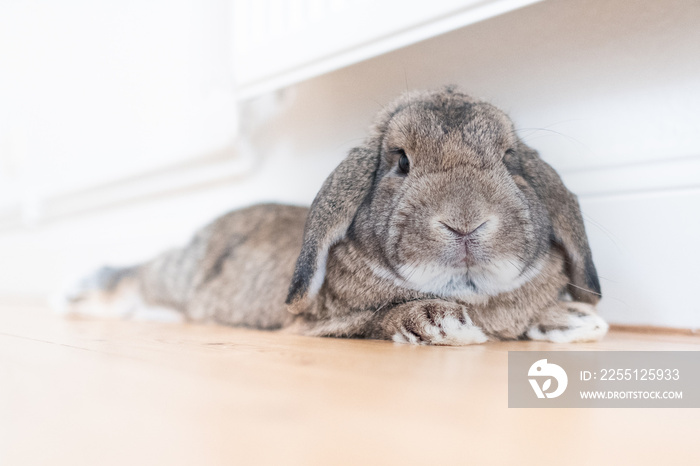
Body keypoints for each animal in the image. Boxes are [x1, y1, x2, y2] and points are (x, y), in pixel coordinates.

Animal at [64, 86, 608, 346]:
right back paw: (71, 298)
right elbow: (377, 320)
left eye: (511, 159)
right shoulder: (317, 326)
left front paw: (576, 321)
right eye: (400, 161)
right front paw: (441, 324)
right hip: (174, 274)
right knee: (133, 278)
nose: (465, 223)